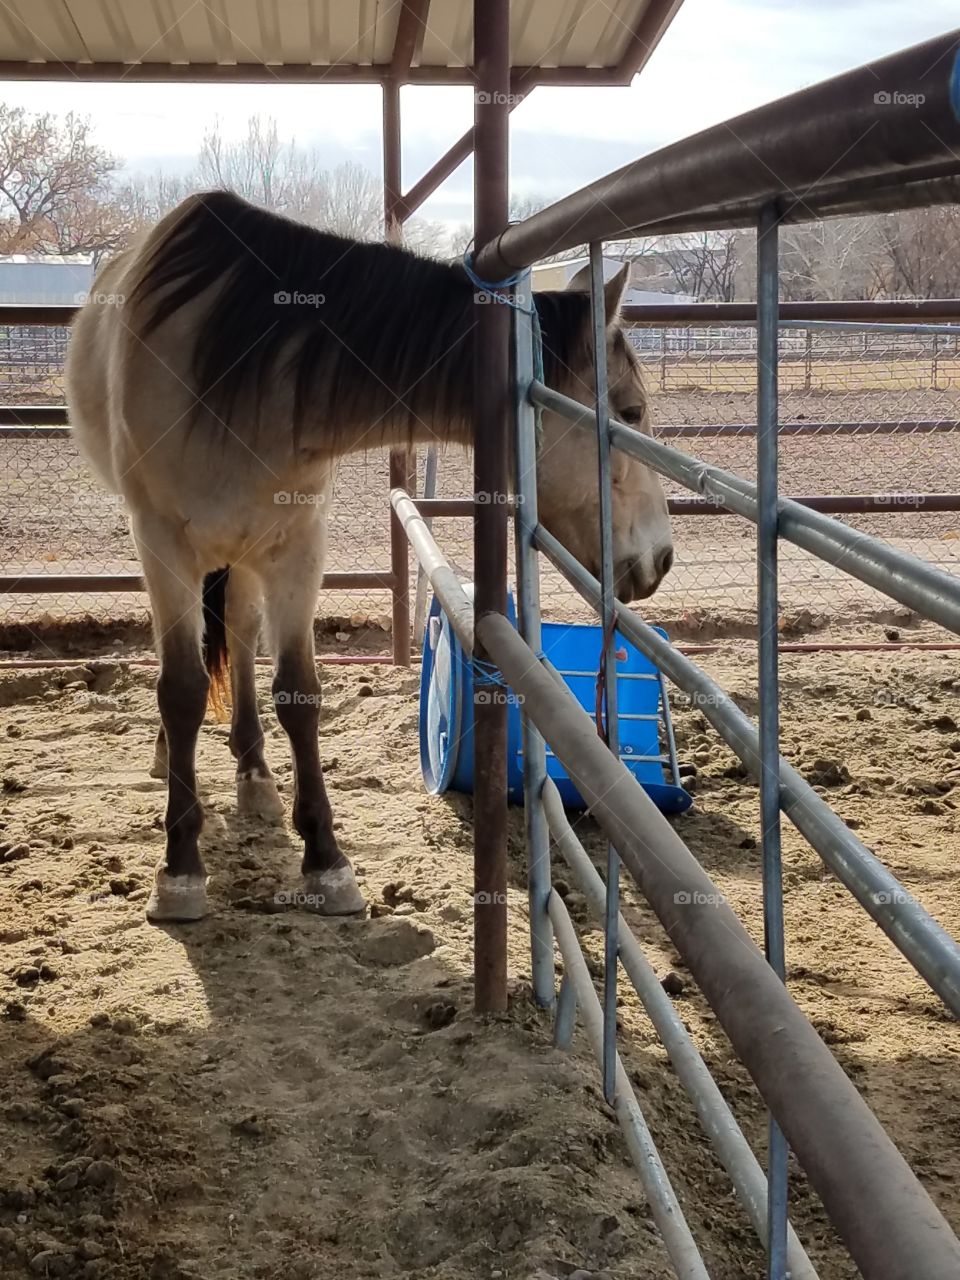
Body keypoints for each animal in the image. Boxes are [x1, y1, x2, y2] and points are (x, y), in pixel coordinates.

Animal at [65, 189, 675, 926]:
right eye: (632, 412)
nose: (663, 557)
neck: (239, 363)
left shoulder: (298, 548)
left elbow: (298, 691)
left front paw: (326, 860)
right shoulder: (161, 545)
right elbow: (179, 690)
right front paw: (180, 870)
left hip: (242, 558)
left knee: (238, 635)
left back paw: (254, 774)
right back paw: (172, 759)